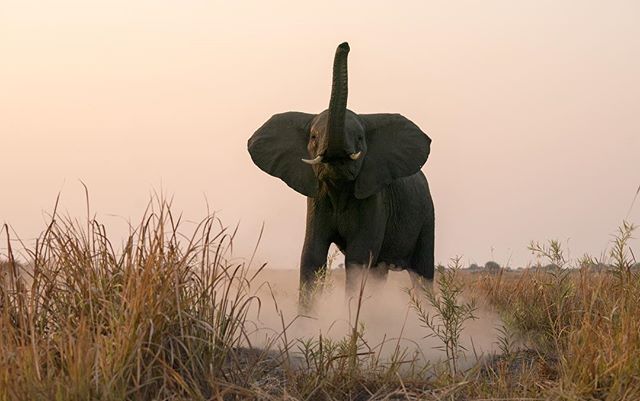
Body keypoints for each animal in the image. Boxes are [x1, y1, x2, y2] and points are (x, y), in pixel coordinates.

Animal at [246, 42, 436, 306]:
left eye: (360, 139)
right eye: (313, 137)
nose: (344, 45)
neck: (338, 186)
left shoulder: (374, 198)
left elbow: (358, 259)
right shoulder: (317, 198)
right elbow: (312, 255)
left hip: (427, 214)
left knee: (421, 274)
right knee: (380, 271)